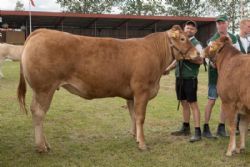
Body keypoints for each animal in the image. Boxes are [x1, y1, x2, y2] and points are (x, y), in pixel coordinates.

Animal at [17, 25, 198, 153]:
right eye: (183, 38)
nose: (197, 54)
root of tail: (40, 31)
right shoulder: (142, 90)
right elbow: (140, 117)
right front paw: (142, 143)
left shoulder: (131, 95)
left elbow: (133, 115)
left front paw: (135, 137)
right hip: (44, 88)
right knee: (39, 112)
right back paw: (41, 146)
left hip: (41, 90)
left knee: (37, 112)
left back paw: (45, 144)